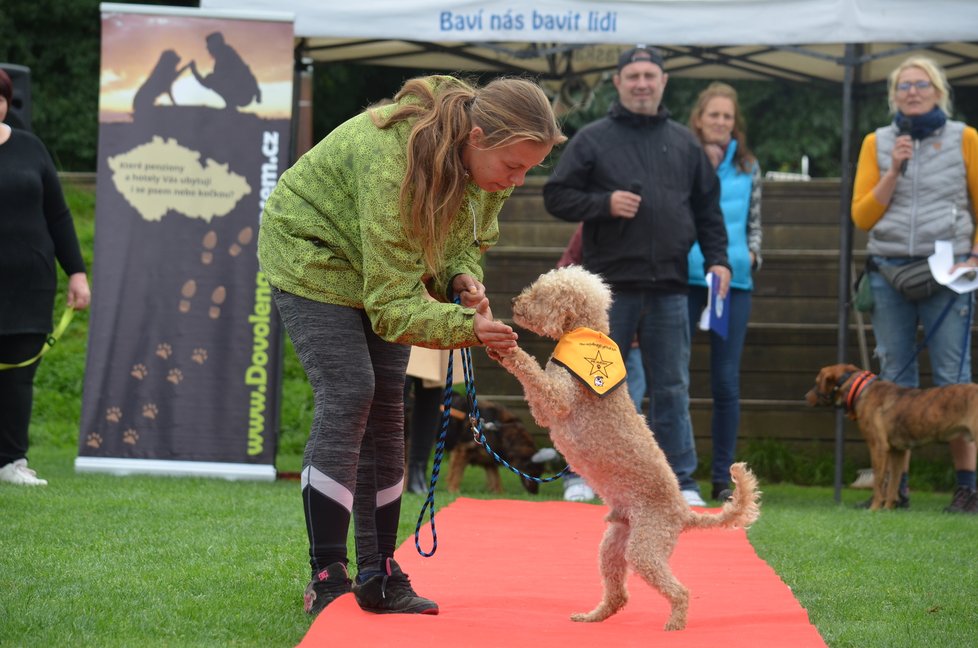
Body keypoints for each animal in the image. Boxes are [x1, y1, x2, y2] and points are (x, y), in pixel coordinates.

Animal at [488, 266, 764, 632]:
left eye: (542, 294)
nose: (514, 303)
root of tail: (684, 513)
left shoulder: (559, 400)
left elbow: (532, 373)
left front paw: (510, 351)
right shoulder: (546, 409)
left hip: (645, 547)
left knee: (680, 591)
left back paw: (675, 625)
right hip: (614, 545)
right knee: (619, 595)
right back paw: (592, 617)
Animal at [800, 364, 976, 506]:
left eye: (817, 382)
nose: (805, 397)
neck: (860, 389)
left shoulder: (878, 447)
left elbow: (879, 482)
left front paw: (874, 508)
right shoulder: (897, 452)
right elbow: (892, 485)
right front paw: (888, 510)